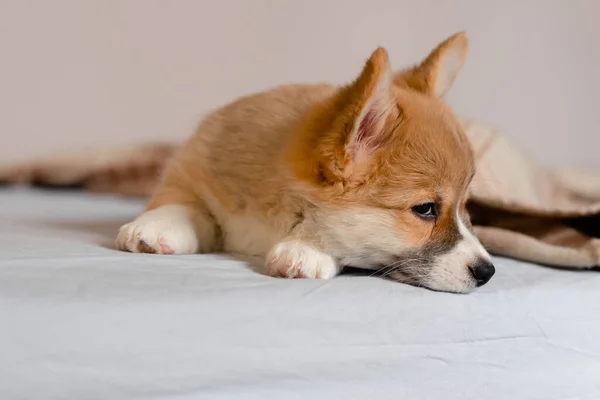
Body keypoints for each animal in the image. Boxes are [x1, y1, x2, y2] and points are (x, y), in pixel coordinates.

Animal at [116, 32, 492, 294]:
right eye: (425, 209)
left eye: (465, 206)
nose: (488, 272)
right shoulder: (192, 172)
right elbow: (183, 203)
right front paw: (155, 226)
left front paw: (306, 248)